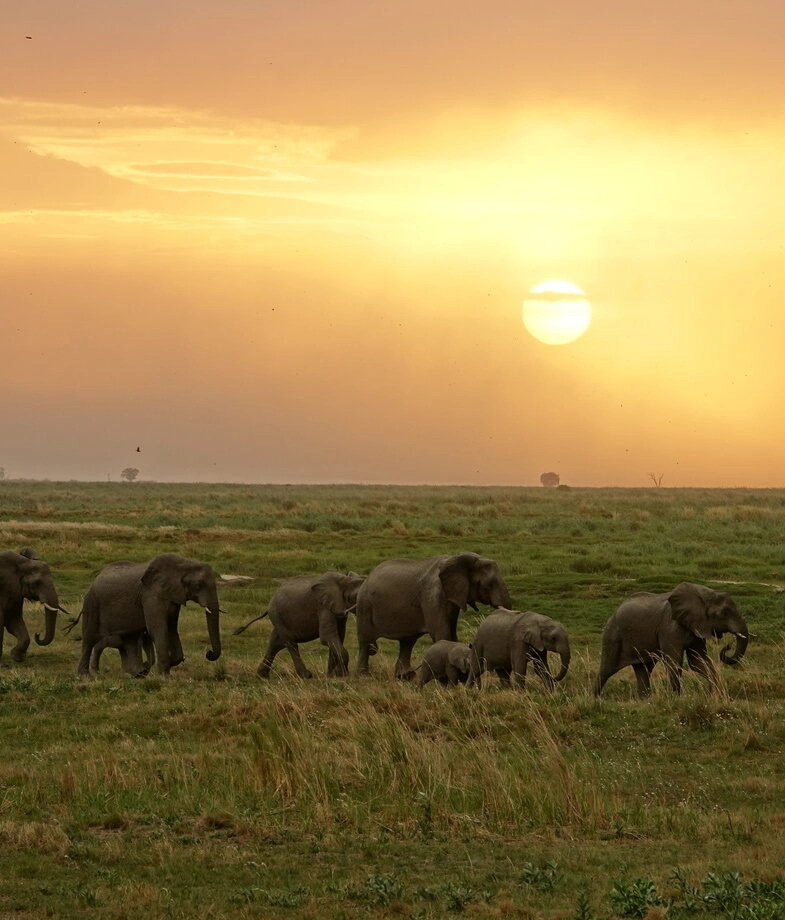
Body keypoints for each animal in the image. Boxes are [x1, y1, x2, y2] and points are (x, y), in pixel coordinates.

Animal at [73, 554, 229, 677]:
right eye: (198, 585)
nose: (208, 653)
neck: (184, 563)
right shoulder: (151, 595)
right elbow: (157, 628)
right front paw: (164, 675)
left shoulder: (172, 596)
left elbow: (172, 629)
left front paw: (169, 664)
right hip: (92, 603)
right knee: (89, 638)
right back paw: (85, 676)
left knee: (129, 638)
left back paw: (138, 674)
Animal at [234, 571, 365, 679]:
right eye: (355, 597)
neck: (345, 580)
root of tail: (269, 605)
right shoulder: (322, 606)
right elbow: (327, 637)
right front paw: (342, 674)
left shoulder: (338, 607)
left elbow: (338, 637)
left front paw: (333, 675)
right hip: (277, 616)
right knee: (290, 643)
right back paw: (306, 675)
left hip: (279, 619)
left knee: (275, 643)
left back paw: (262, 676)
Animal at [355, 552, 511, 679]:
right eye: (488, 585)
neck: (456, 559)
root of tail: (367, 577)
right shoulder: (432, 595)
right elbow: (441, 632)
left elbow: (452, 633)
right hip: (364, 605)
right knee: (365, 640)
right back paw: (364, 676)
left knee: (407, 642)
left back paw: (405, 677)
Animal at [594, 582, 749, 698]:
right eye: (724, 613)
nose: (727, 646)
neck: (704, 594)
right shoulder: (669, 627)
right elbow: (674, 661)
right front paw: (676, 698)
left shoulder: (696, 628)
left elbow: (698, 661)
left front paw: (715, 696)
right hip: (612, 635)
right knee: (607, 669)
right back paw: (596, 699)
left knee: (644, 669)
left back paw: (646, 701)